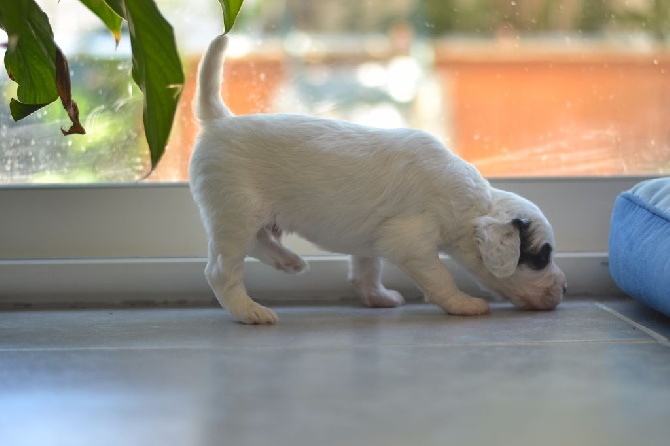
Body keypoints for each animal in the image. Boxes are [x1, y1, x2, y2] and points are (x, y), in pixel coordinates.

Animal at [189, 34, 568, 324]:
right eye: (541, 258)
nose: (565, 289)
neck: (475, 203)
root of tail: (219, 121)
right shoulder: (412, 245)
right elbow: (441, 277)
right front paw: (464, 304)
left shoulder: (370, 241)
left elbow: (366, 269)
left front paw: (378, 297)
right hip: (235, 211)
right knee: (221, 271)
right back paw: (250, 312)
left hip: (245, 215)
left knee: (257, 242)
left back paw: (288, 261)